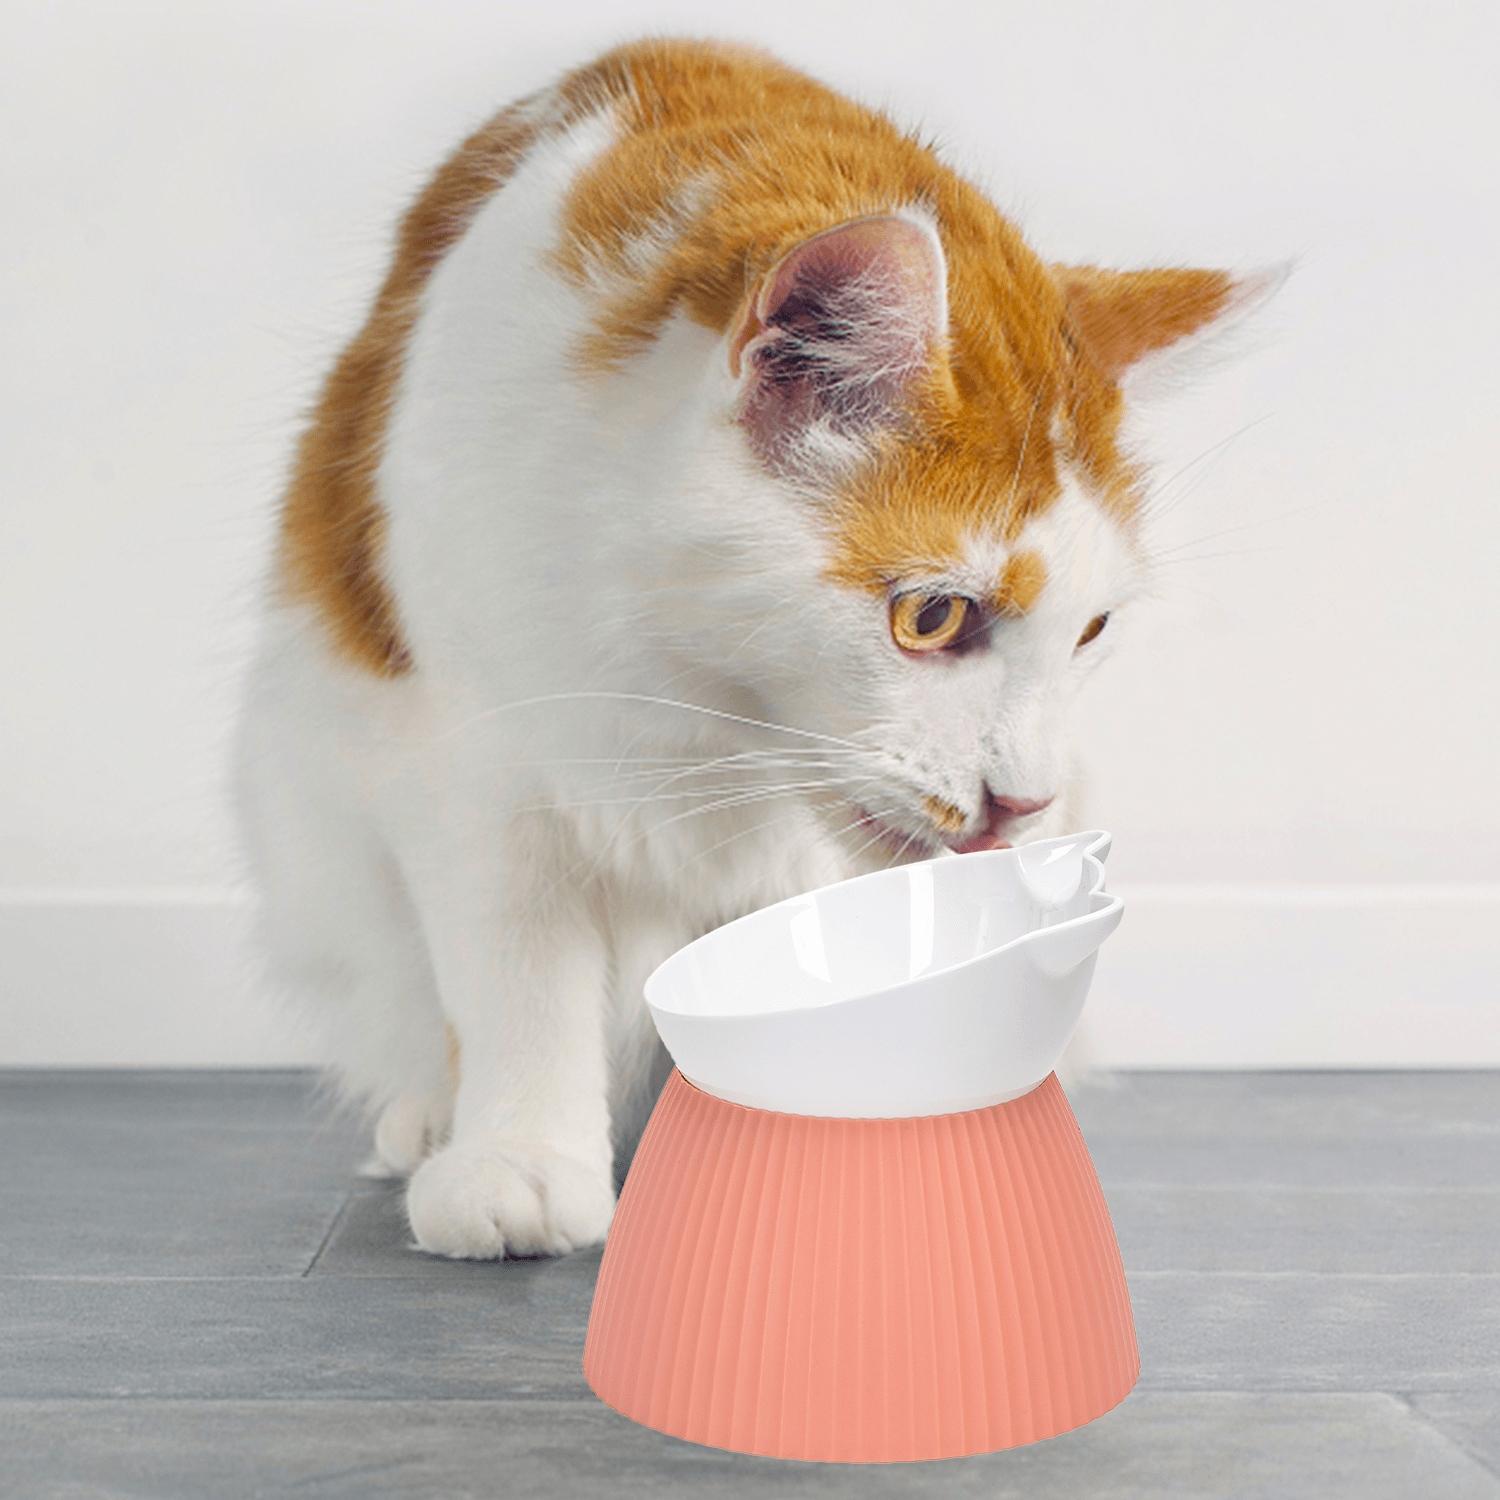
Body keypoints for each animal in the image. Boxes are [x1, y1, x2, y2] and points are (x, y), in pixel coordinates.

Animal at [234, 35, 1266, 1260]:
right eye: (933, 617)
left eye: (1092, 630)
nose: (1023, 804)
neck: (695, 705)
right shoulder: (467, 752)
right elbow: (517, 969)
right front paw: (518, 1160)